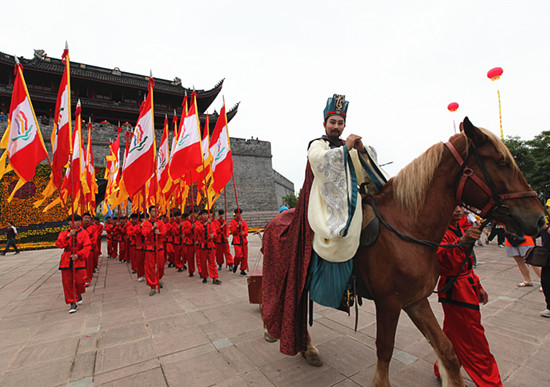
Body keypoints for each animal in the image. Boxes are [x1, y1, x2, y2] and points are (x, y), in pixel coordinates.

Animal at [264, 118, 548, 387]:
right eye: (501, 162)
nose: (539, 220)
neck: (408, 227)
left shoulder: (415, 300)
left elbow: (447, 350)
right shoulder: (389, 302)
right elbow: (385, 349)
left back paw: (306, 349)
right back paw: (282, 336)